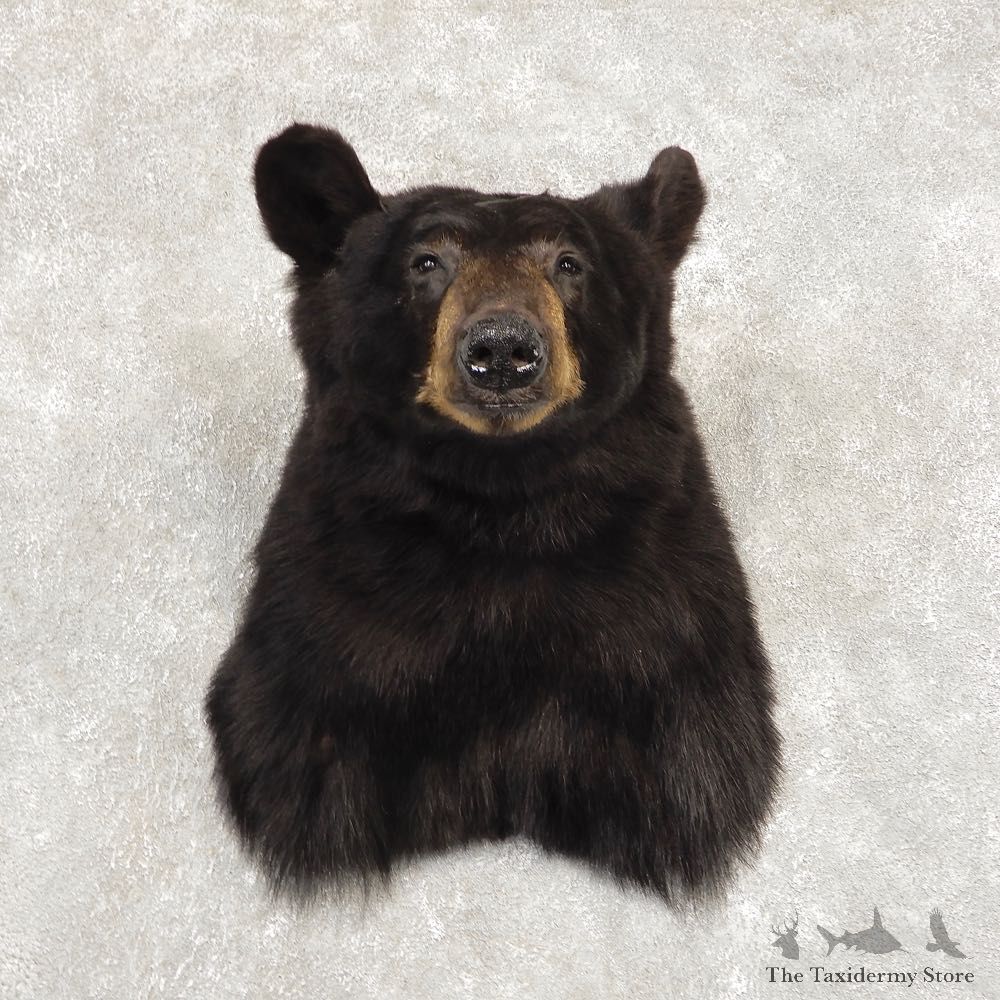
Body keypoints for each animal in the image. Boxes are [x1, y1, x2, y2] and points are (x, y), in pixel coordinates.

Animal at [205, 123, 781, 904]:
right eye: (426, 262)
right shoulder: (328, 612)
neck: (500, 503)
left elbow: (692, 762)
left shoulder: (665, 614)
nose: (503, 349)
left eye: (569, 263)